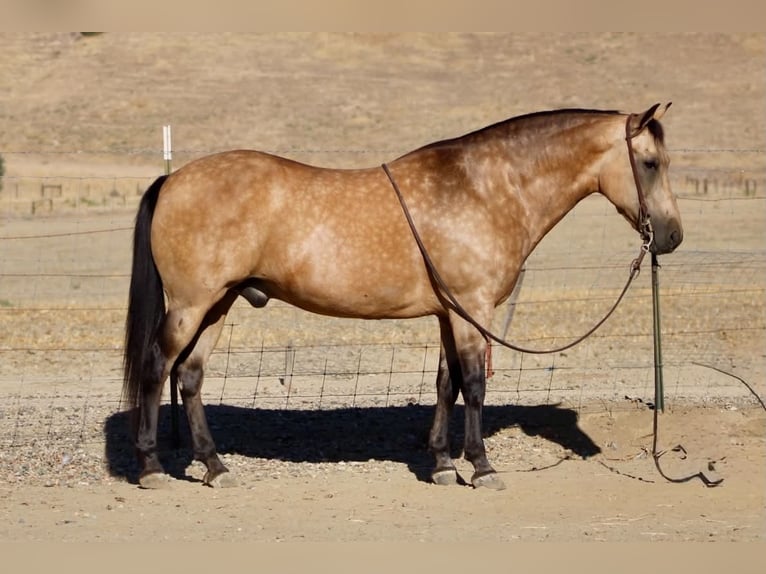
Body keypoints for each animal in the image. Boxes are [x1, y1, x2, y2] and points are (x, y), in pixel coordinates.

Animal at [123, 103, 682, 490]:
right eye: (650, 163)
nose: (672, 236)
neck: (482, 188)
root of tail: (173, 179)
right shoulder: (472, 310)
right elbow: (474, 385)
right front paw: (481, 467)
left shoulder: (450, 313)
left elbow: (445, 384)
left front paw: (442, 464)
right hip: (191, 305)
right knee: (157, 367)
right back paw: (151, 467)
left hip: (218, 304)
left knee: (190, 376)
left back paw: (215, 466)